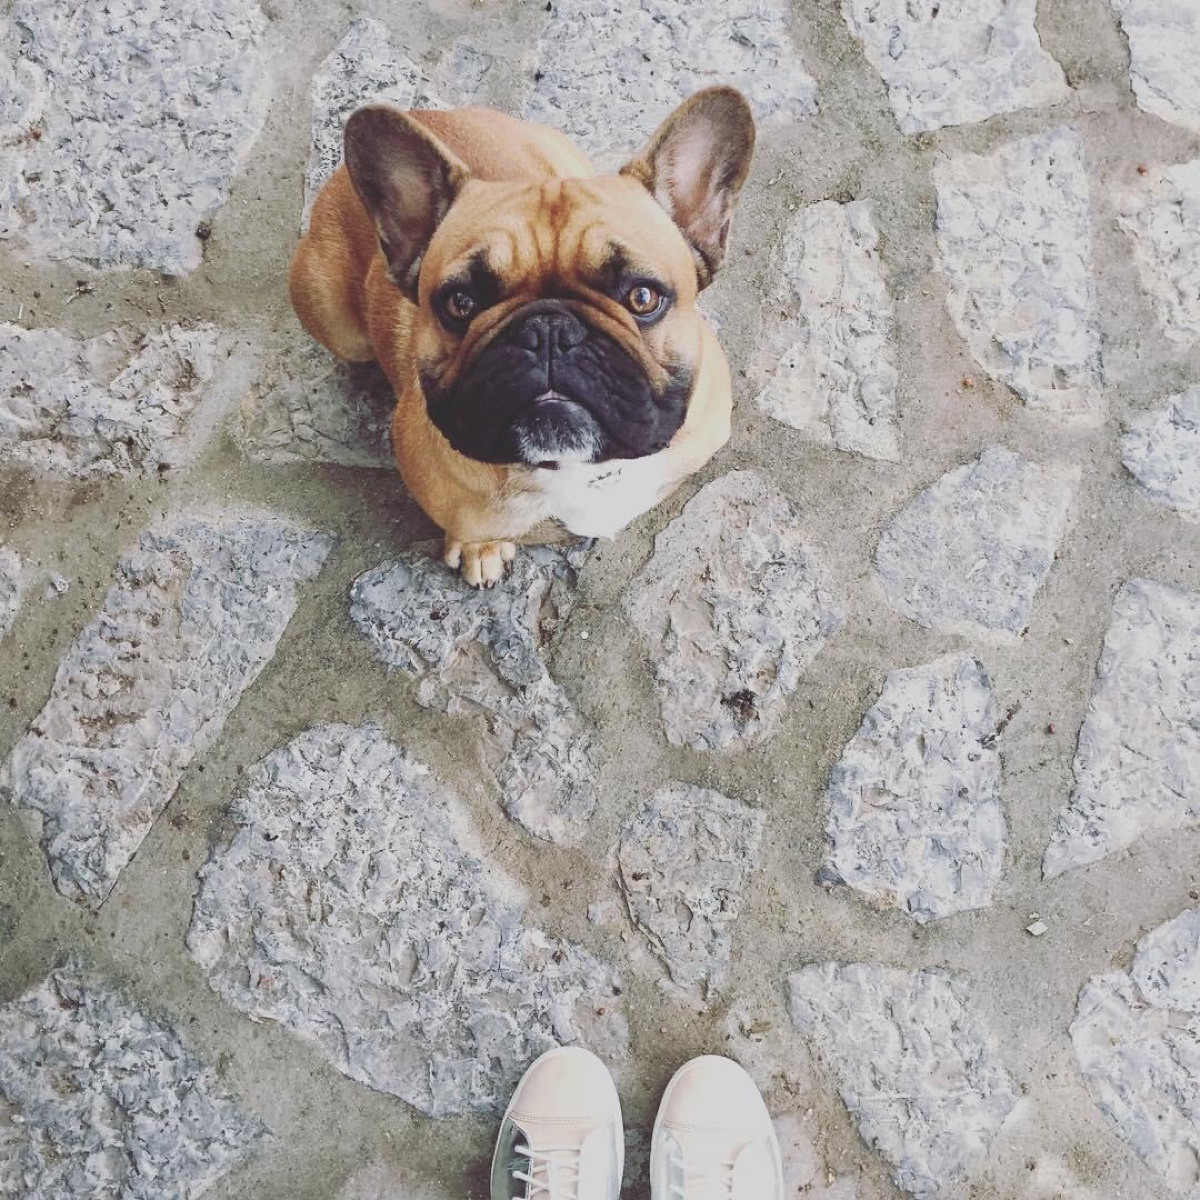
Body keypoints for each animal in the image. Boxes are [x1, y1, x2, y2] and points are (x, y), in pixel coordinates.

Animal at [290, 86, 755, 586]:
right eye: (460, 303)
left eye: (643, 297)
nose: (549, 330)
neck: (573, 470)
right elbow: (471, 529)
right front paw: (480, 548)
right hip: (335, 322)